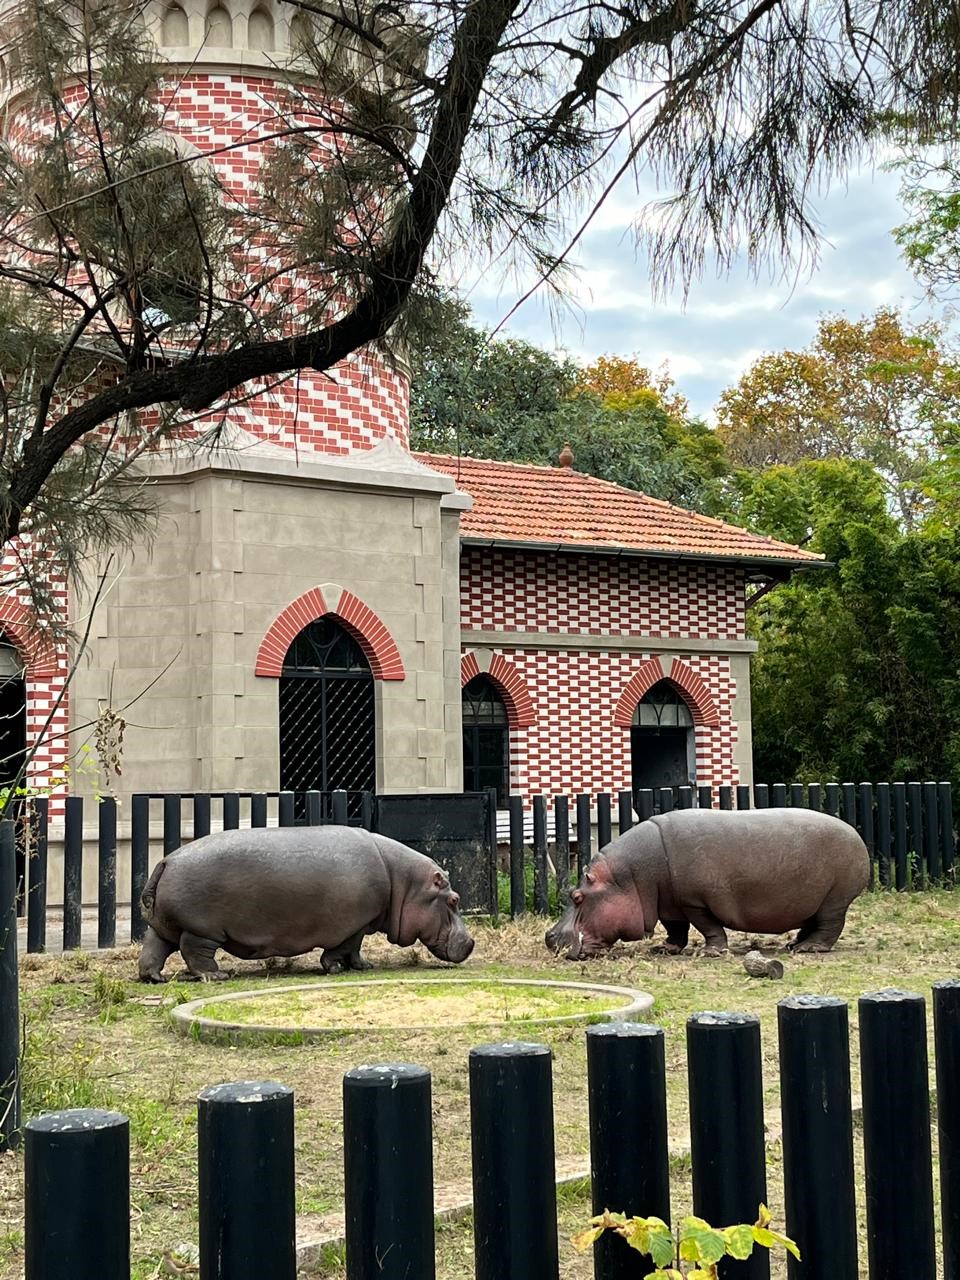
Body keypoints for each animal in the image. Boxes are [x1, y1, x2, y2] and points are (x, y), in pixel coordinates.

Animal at [138, 826, 475, 982]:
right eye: (454, 899)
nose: (471, 942)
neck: (403, 881)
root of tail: (166, 861)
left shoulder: (360, 923)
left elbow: (355, 950)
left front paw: (364, 966)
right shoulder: (355, 924)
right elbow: (344, 947)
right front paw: (335, 968)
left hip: (165, 925)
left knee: (155, 947)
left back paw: (155, 978)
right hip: (202, 930)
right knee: (194, 953)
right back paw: (219, 975)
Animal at [545, 807, 870, 959]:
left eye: (577, 896)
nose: (549, 937)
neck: (630, 876)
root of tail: (856, 834)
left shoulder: (694, 902)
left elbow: (707, 926)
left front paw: (710, 952)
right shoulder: (669, 902)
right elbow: (676, 928)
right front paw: (665, 949)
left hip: (835, 899)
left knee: (829, 927)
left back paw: (809, 949)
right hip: (813, 901)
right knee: (811, 923)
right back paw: (794, 944)